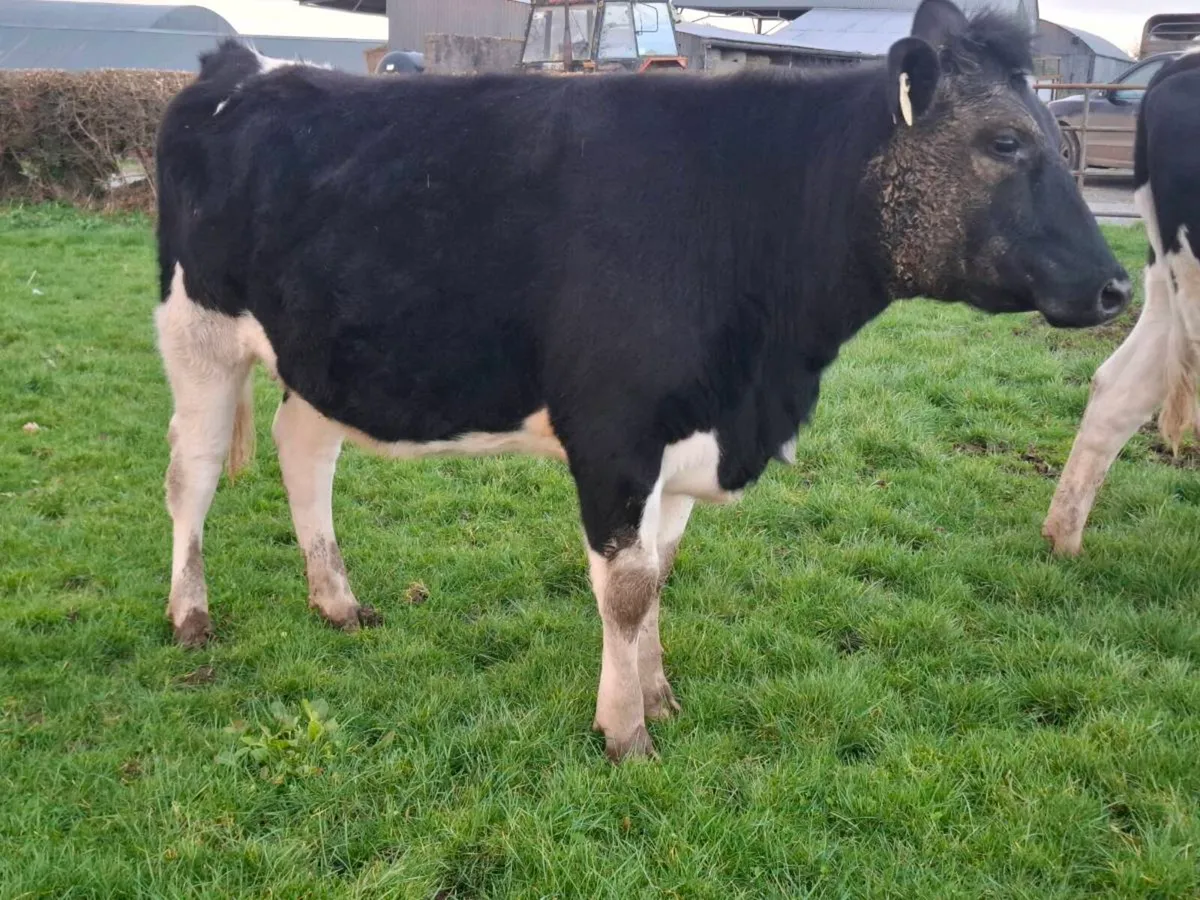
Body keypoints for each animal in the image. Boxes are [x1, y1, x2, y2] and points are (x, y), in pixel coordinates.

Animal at [155, 0, 1130, 761]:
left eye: (1059, 139)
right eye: (1004, 141)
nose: (1116, 286)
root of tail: (243, 65)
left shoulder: (687, 431)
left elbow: (658, 573)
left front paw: (658, 694)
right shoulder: (614, 433)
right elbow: (623, 590)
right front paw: (625, 729)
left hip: (322, 349)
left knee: (303, 448)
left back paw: (336, 600)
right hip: (195, 333)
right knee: (189, 474)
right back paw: (189, 615)